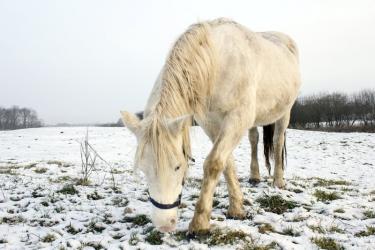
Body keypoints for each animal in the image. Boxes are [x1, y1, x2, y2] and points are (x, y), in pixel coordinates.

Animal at [122, 18, 302, 233]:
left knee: (277, 140)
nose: (164, 225)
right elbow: (226, 163)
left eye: (177, 166)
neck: (215, 63)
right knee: (254, 139)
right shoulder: (211, 123)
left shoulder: (237, 118)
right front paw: (236, 208)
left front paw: (199, 223)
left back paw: (278, 181)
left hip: (285, 112)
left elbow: (214, 163)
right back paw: (255, 176)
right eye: (143, 168)